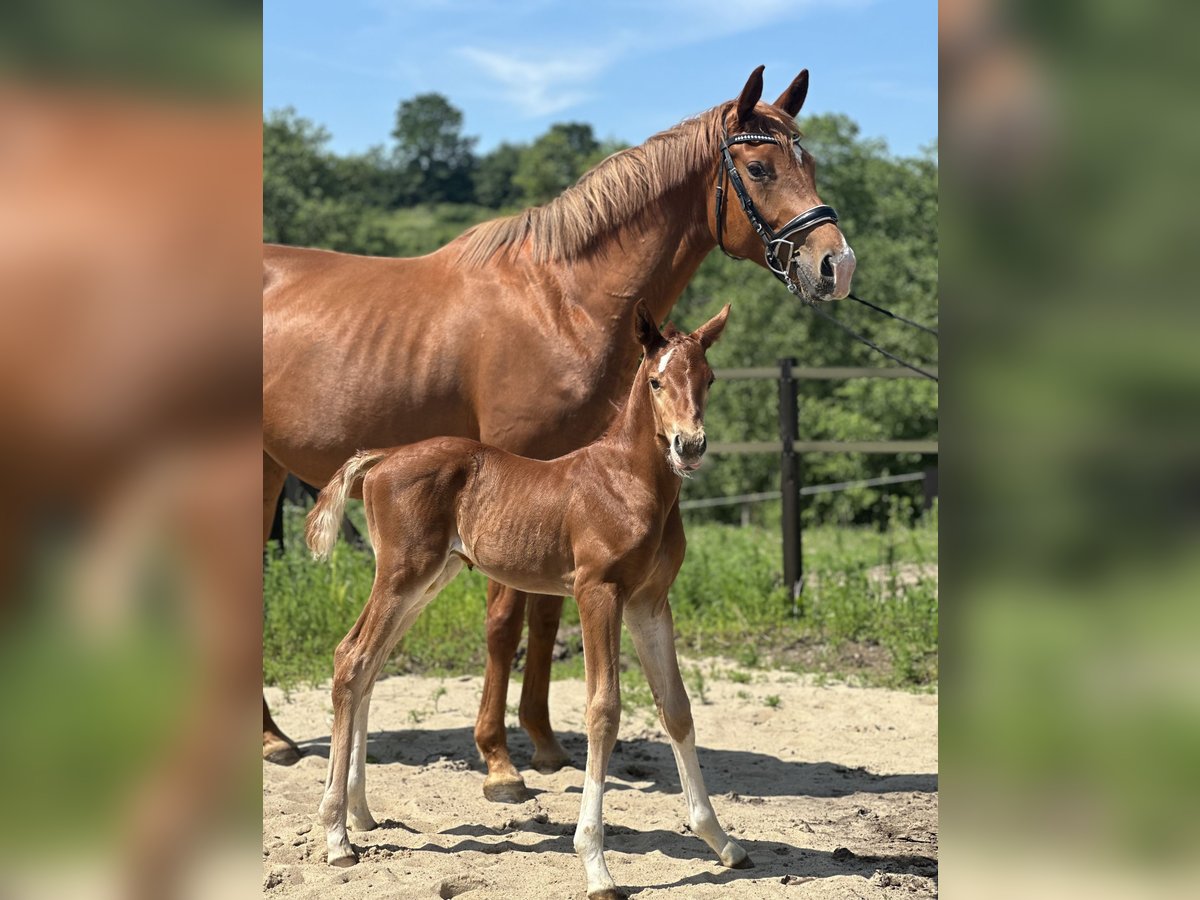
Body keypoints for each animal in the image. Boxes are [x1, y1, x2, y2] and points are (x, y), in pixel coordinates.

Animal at [309, 307, 739, 897]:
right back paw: (336, 838)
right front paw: (596, 864)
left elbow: (675, 707)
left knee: (367, 665)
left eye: (709, 380)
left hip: (427, 581)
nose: (688, 446)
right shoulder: (598, 593)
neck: (627, 482)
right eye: (656, 381)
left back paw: (360, 814)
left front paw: (719, 840)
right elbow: (603, 710)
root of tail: (384, 457)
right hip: (402, 575)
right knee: (351, 659)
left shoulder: (650, 603)